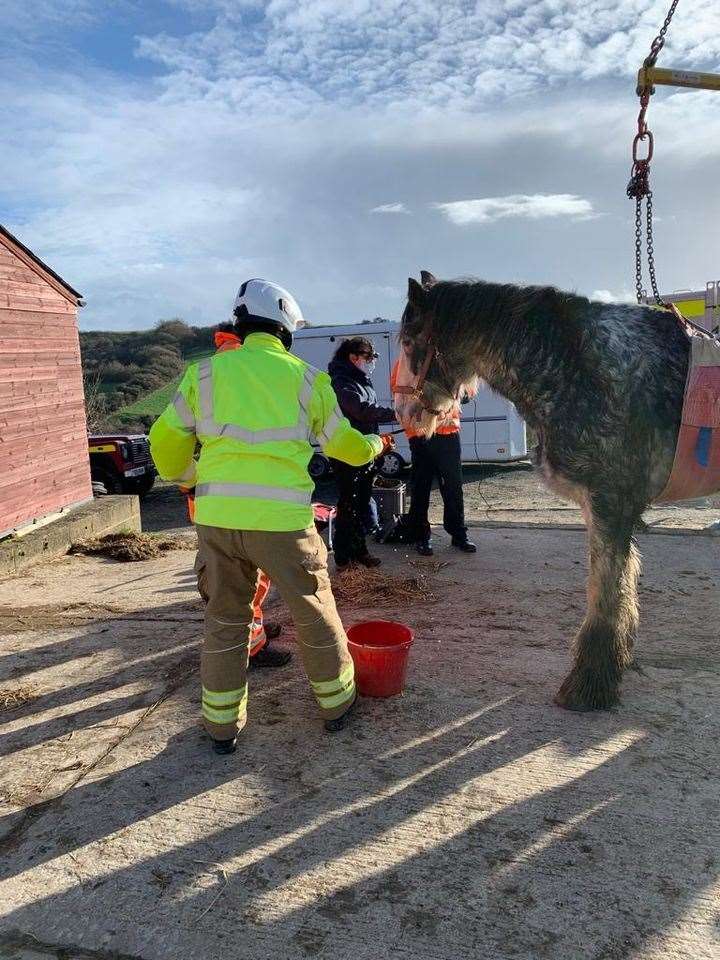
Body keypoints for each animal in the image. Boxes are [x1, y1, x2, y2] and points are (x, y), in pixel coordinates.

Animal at [396, 270, 696, 712]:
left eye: (407, 341)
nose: (403, 413)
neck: (581, 366)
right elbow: (620, 586)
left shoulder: (609, 504)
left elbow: (606, 590)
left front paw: (588, 684)